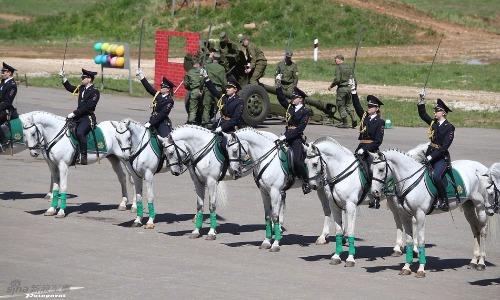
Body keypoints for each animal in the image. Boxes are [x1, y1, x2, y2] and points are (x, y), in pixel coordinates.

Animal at [370, 149, 490, 278]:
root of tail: (481, 167)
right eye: (372, 169)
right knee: (475, 230)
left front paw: (421, 269)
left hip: (480, 206)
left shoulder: (420, 214)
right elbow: (409, 241)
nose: (374, 192)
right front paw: (406, 267)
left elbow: (421, 240)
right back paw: (473, 261)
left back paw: (481, 262)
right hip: (468, 206)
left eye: (381, 169)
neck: (410, 180)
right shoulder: (405, 215)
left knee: (483, 231)